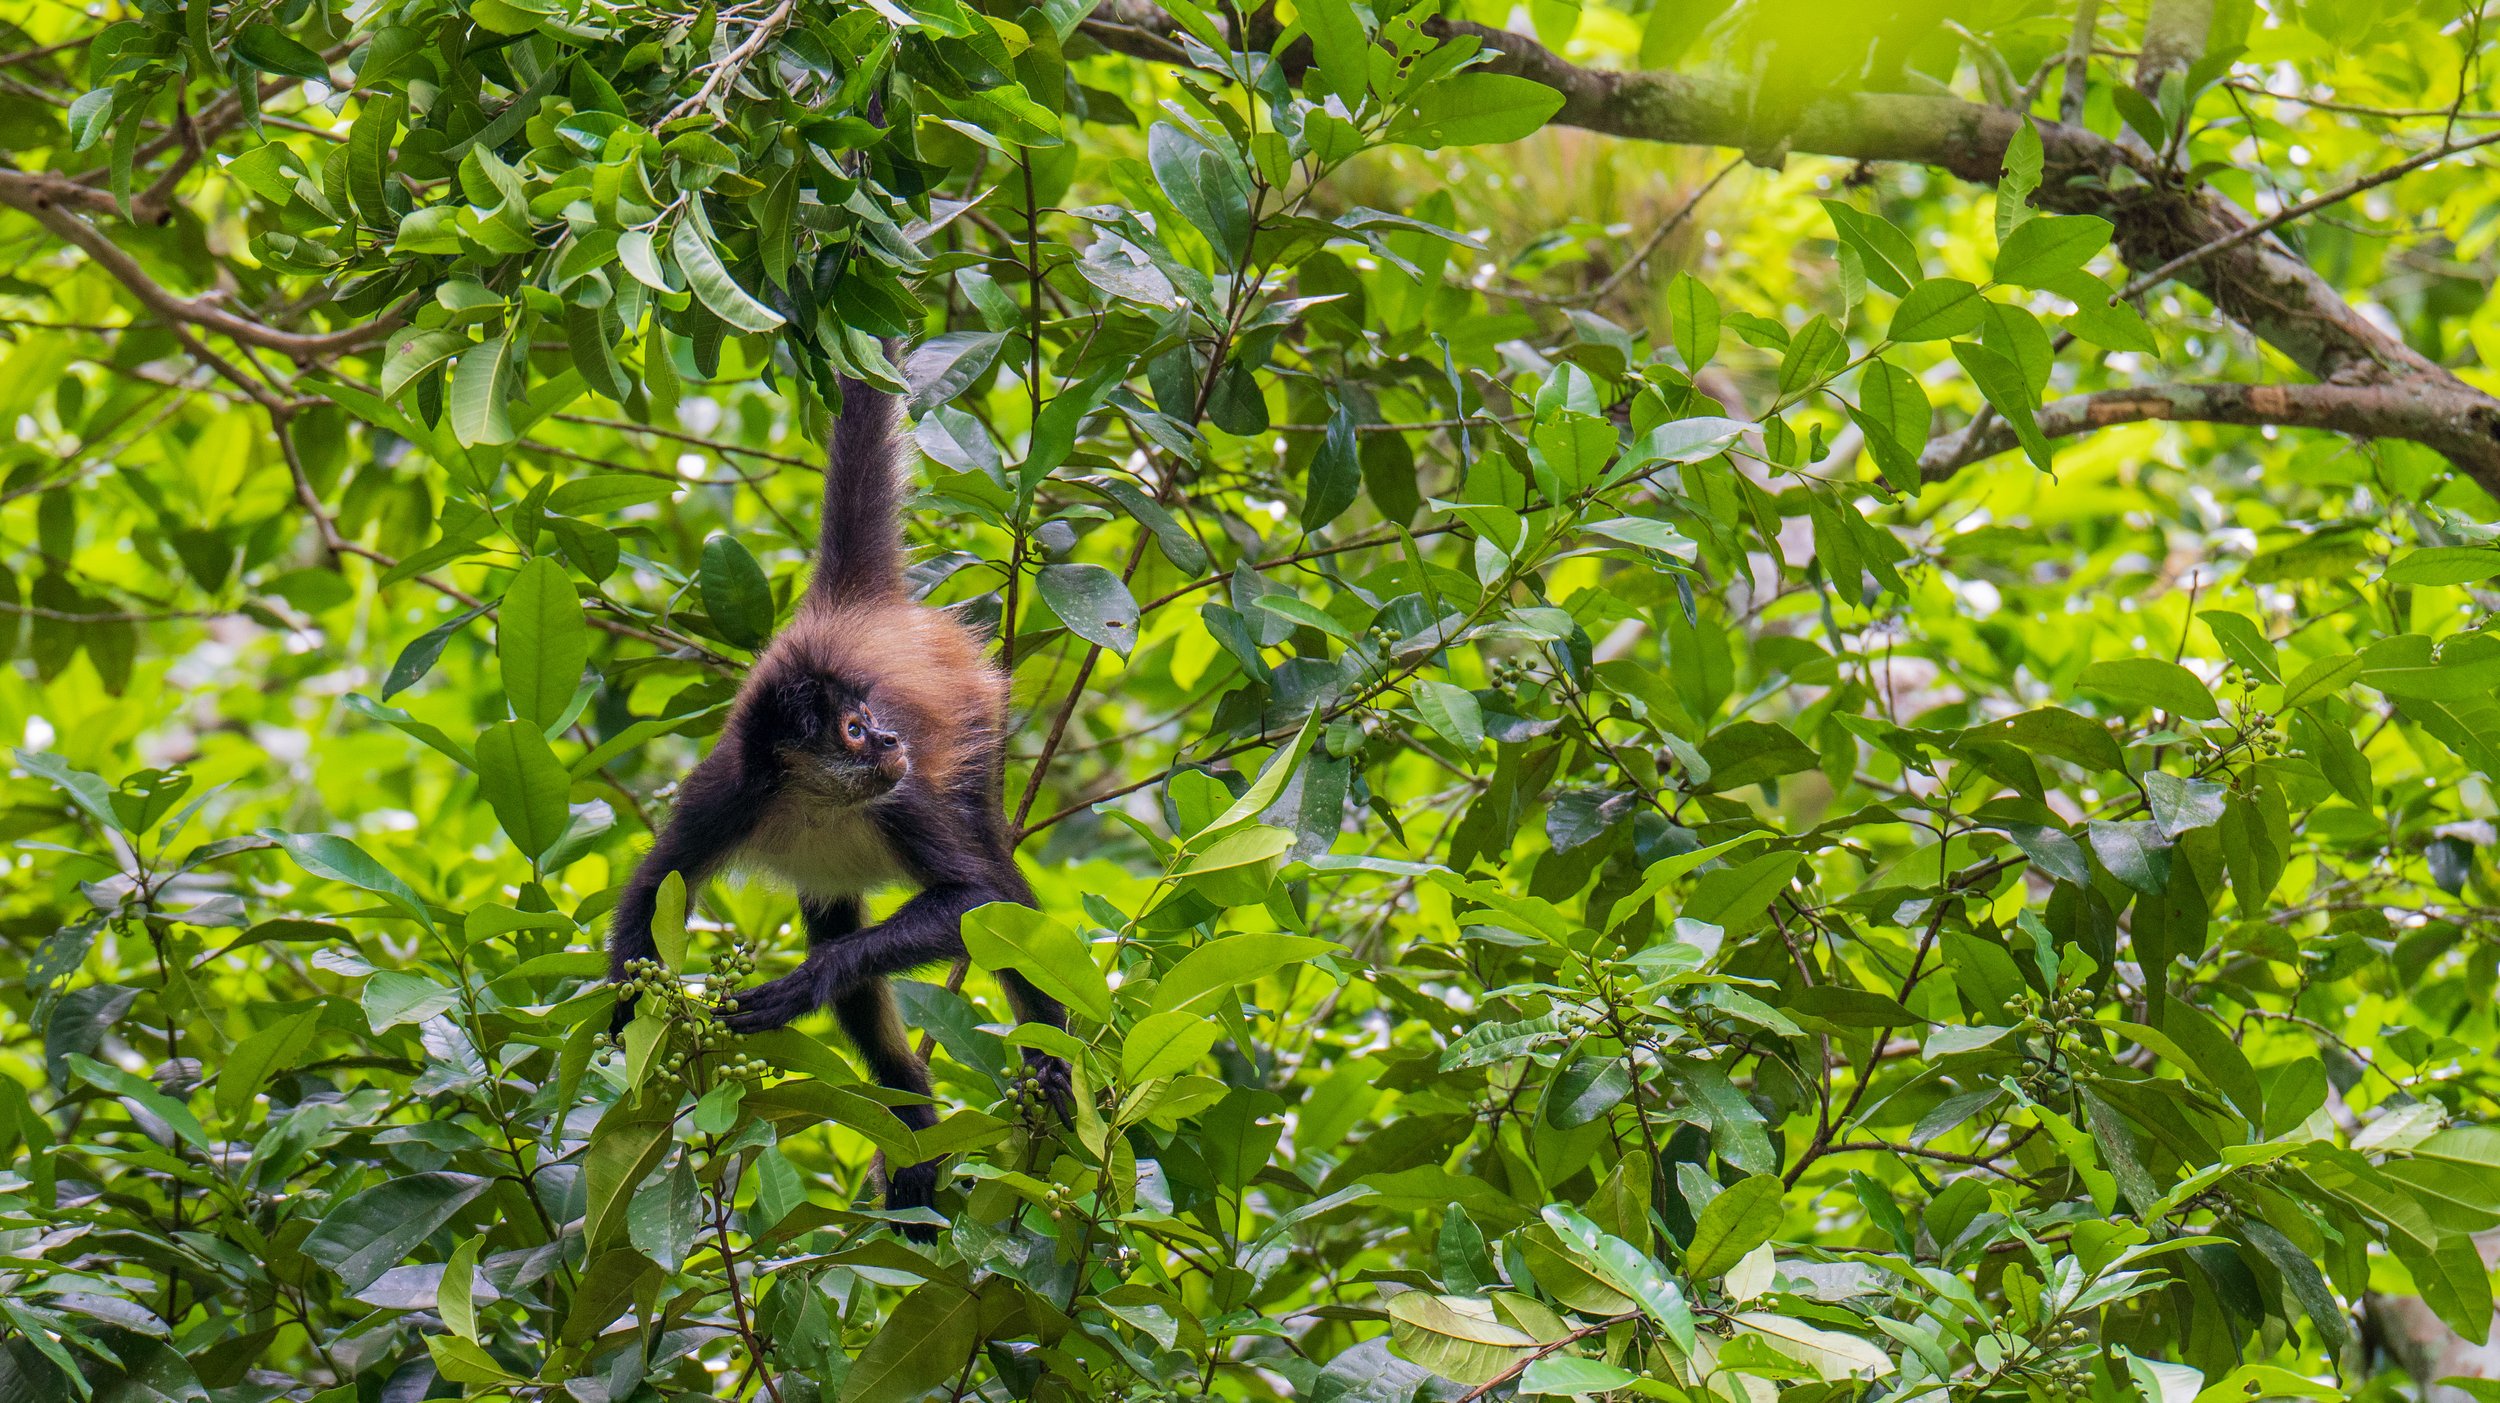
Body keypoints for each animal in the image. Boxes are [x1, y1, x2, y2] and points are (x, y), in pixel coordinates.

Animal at [606, 370, 1069, 1229]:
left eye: (871, 718)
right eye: (852, 729)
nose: (887, 738)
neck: (816, 797)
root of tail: (849, 608)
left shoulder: (899, 795)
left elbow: (977, 899)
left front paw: (805, 984)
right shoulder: (731, 791)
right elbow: (654, 888)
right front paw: (627, 1023)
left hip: (974, 715)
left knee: (992, 882)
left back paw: (1050, 1064)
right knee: (840, 926)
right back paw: (914, 1134)